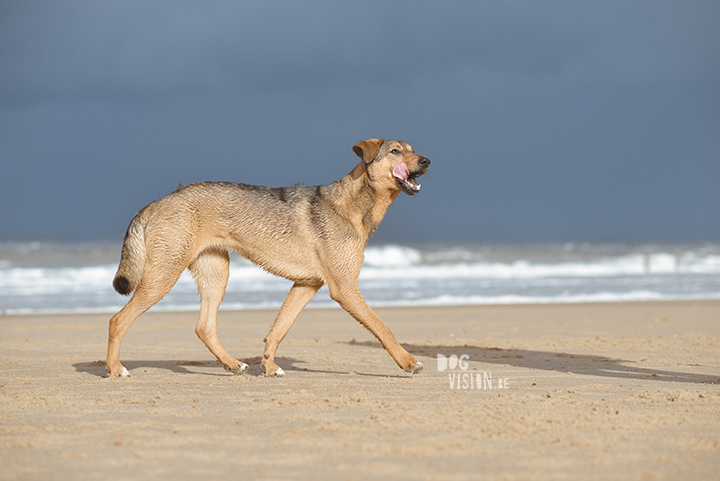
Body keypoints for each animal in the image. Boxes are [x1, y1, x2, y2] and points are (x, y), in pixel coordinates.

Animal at [106, 137, 430, 376]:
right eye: (395, 151)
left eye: (413, 150)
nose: (427, 161)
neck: (355, 205)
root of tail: (157, 202)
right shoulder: (345, 288)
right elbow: (382, 327)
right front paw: (408, 361)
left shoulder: (306, 284)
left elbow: (279, 329)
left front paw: (269, 365)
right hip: (163, 276)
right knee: (117, 320)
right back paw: (115, 368)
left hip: (216, 275)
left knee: (204, 327)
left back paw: (233, 364)